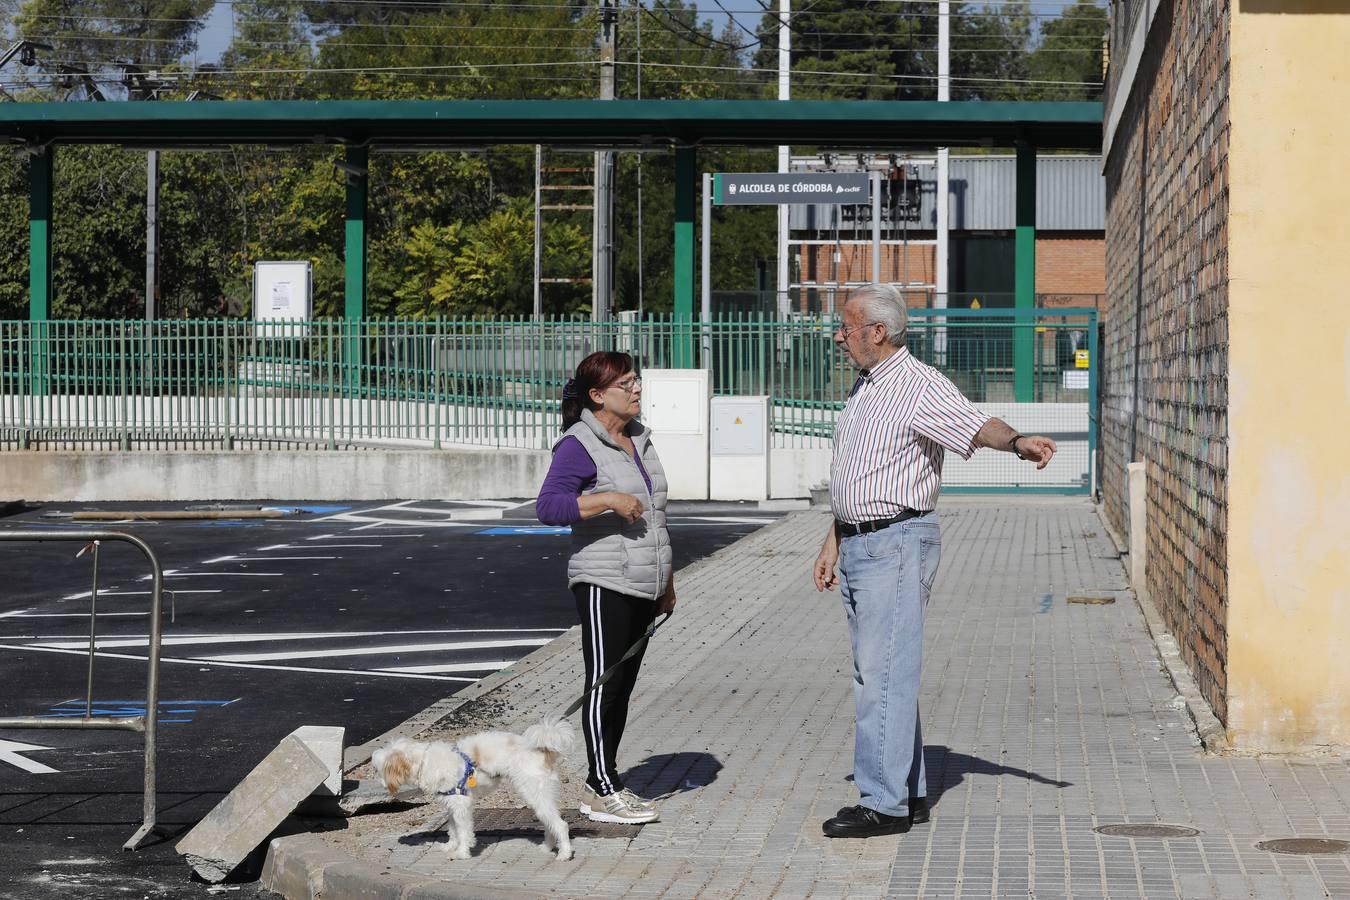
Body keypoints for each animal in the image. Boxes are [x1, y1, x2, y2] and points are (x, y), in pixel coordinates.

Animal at [372, 717, 577, 858]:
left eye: (377, 770)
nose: (378, 783)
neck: (424, 760)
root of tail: (543, 750)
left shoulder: (461, 805)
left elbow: (463, 831)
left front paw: (462, 853)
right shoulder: (452, 805)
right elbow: (453, 829)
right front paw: (450, 846)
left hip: (536, 794)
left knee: (561, 825)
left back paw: (564, 854)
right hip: (540, 798)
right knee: (550, 823)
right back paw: (547, 847)